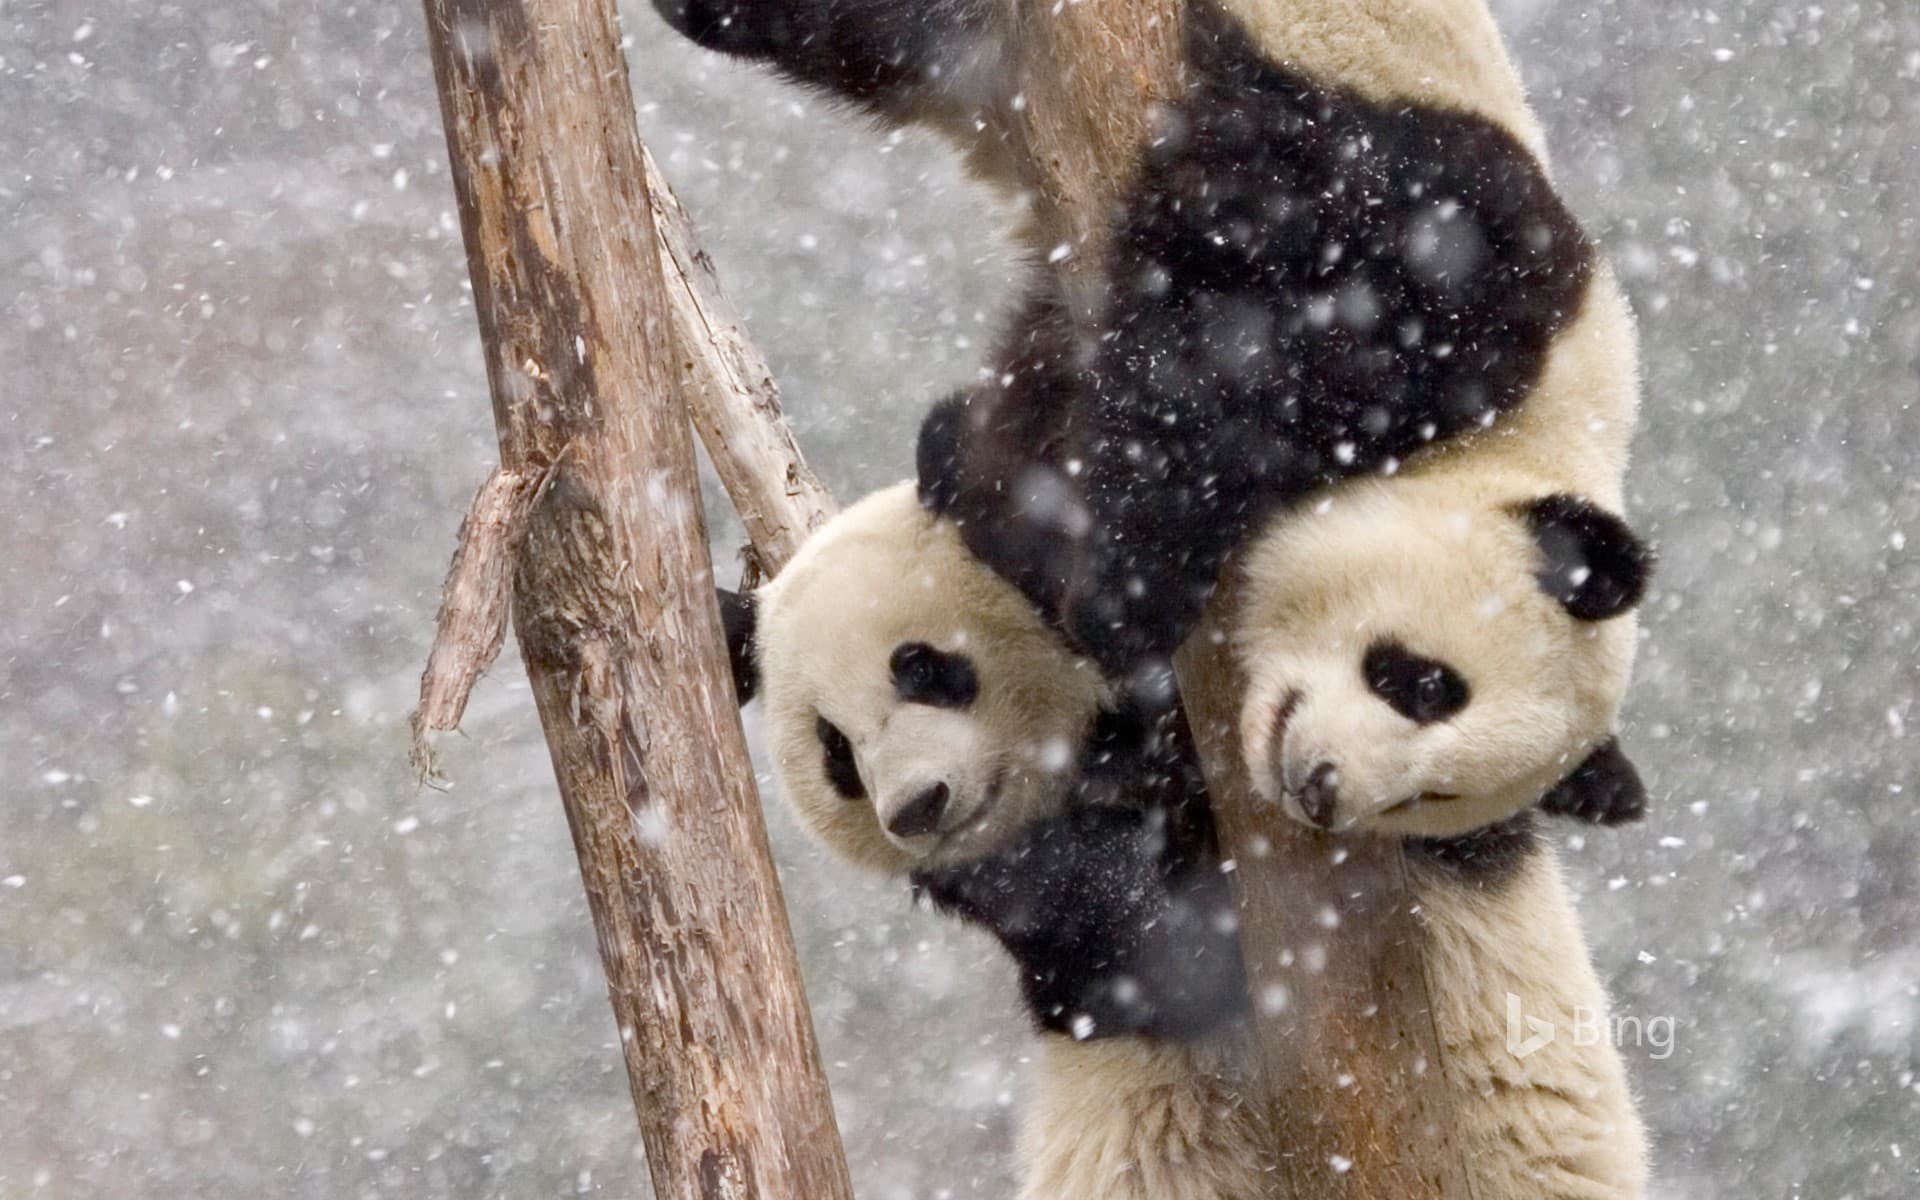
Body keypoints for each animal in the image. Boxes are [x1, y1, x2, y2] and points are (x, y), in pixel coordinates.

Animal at [653, 0, 1630, 686]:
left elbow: (1053, 391)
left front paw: (970, 471)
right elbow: (1210, 394)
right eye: (1419, 682)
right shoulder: (1425, 257)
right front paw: (1123, 599)